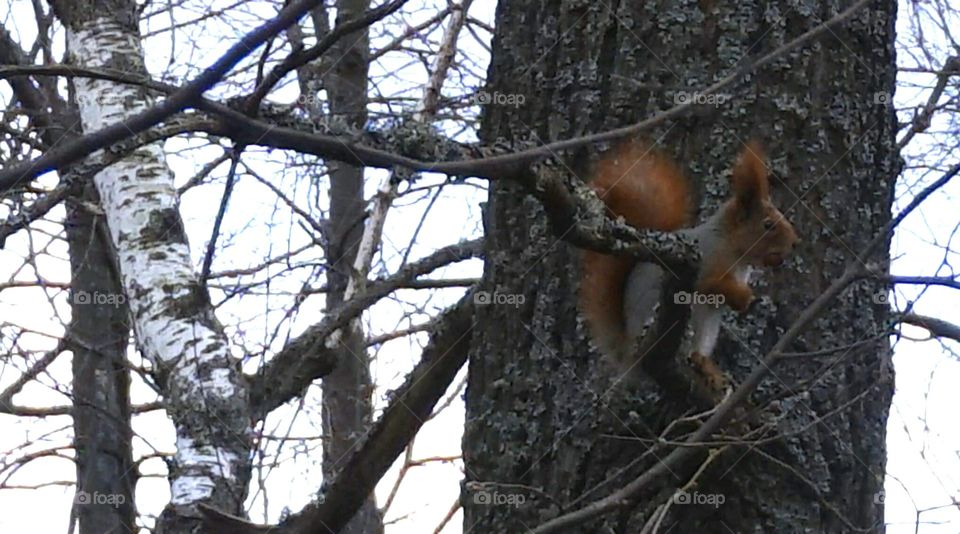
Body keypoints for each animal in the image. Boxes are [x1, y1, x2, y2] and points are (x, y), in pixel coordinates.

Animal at [580, 140, 798, 398]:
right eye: (768, 225)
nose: (795, 242)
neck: (734, 250)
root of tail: (628, 356)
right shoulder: (707, 262)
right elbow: (710, 285)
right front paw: (743, 297)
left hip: (706, 329)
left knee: (697, 352)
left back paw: (708, 370)